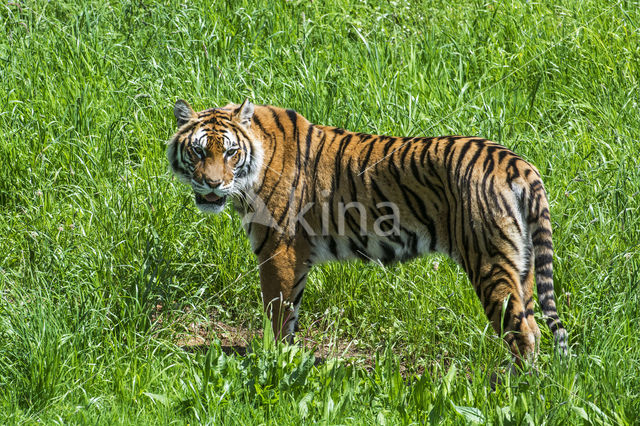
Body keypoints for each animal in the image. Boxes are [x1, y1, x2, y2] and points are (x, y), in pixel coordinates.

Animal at [168, 98, 568, 364]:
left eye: (230, 152)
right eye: (199, 152)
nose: (212, 184)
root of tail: (514, 161)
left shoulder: (278, 250)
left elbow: (277, 312)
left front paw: (273, 362)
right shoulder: (298, 256)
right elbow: (291, 311)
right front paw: (290, 359)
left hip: (489, 260)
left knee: (522, 333)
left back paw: (510, 392)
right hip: (522, 264)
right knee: (532, 324)